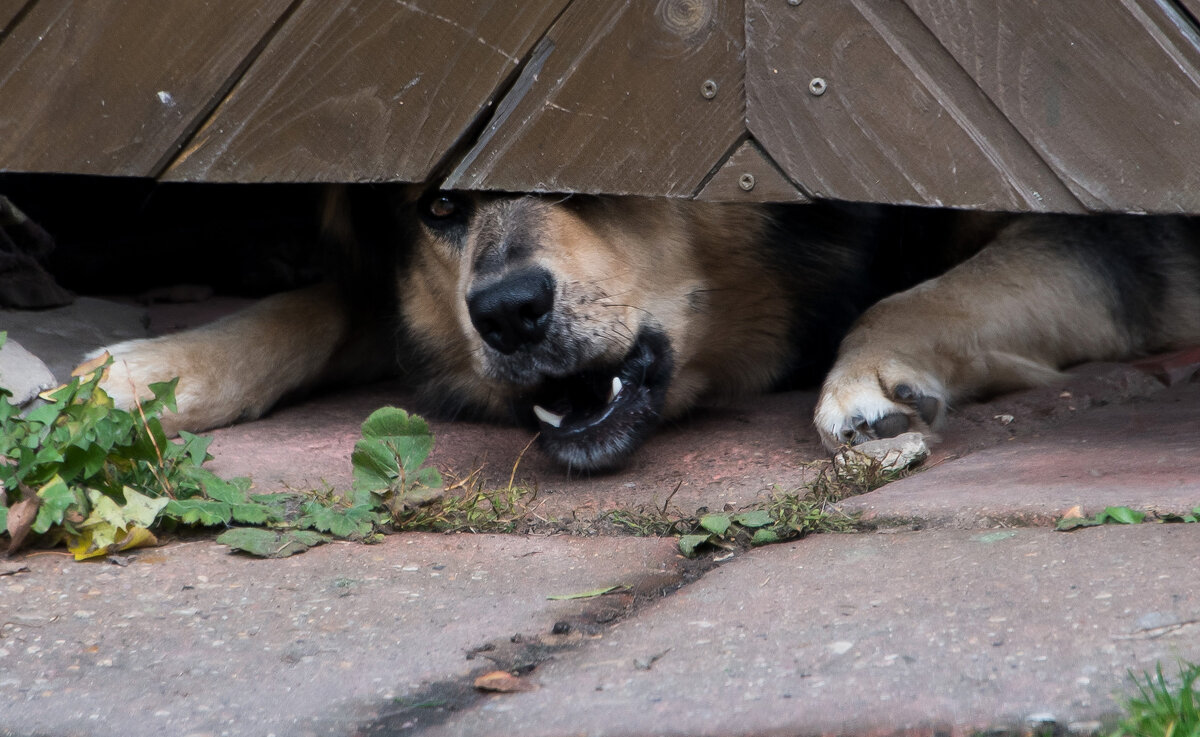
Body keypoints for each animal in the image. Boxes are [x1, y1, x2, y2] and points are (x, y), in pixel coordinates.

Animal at [96, 190, 1200, 472]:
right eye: (440, 209)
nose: (506, 311)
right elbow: (322, 303)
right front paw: (151, 373)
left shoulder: (1115, 232)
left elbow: (920, 294)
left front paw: (871, 381)